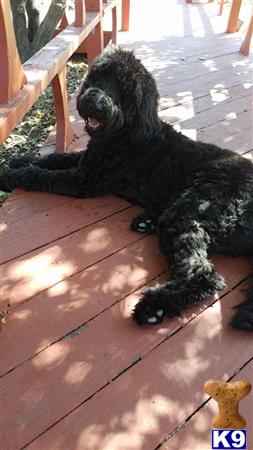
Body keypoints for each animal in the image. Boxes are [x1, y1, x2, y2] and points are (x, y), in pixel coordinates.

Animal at [0, 48, 253, 330]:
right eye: (99, 75)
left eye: (125, 88)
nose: (94, 102)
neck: (125, 132)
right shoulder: (86, 160)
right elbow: (55, 159)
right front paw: (21, 160)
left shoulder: (85, 179)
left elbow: (41, 175)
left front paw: (9, 174)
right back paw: (146, 221)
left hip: (193, 208)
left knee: (204, 274)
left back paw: (154, 307)